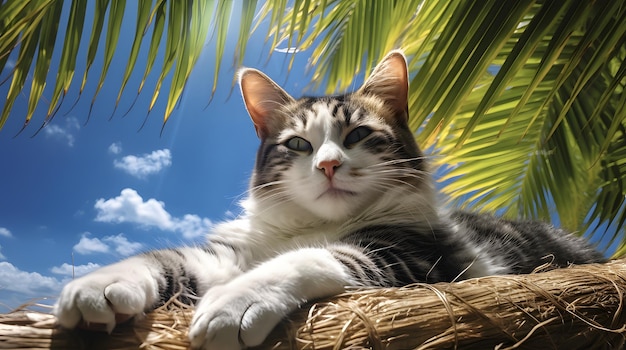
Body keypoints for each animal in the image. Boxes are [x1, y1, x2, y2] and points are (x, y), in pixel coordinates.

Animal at [54, 50, 604, 350]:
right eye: (299, 144)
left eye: (358, 134)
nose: (328, 164)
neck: (310, 224)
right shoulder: (230, 253)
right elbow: (164, 257)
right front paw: (100, 283)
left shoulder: (412, 257)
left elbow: (311, 257)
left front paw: (235, 300)